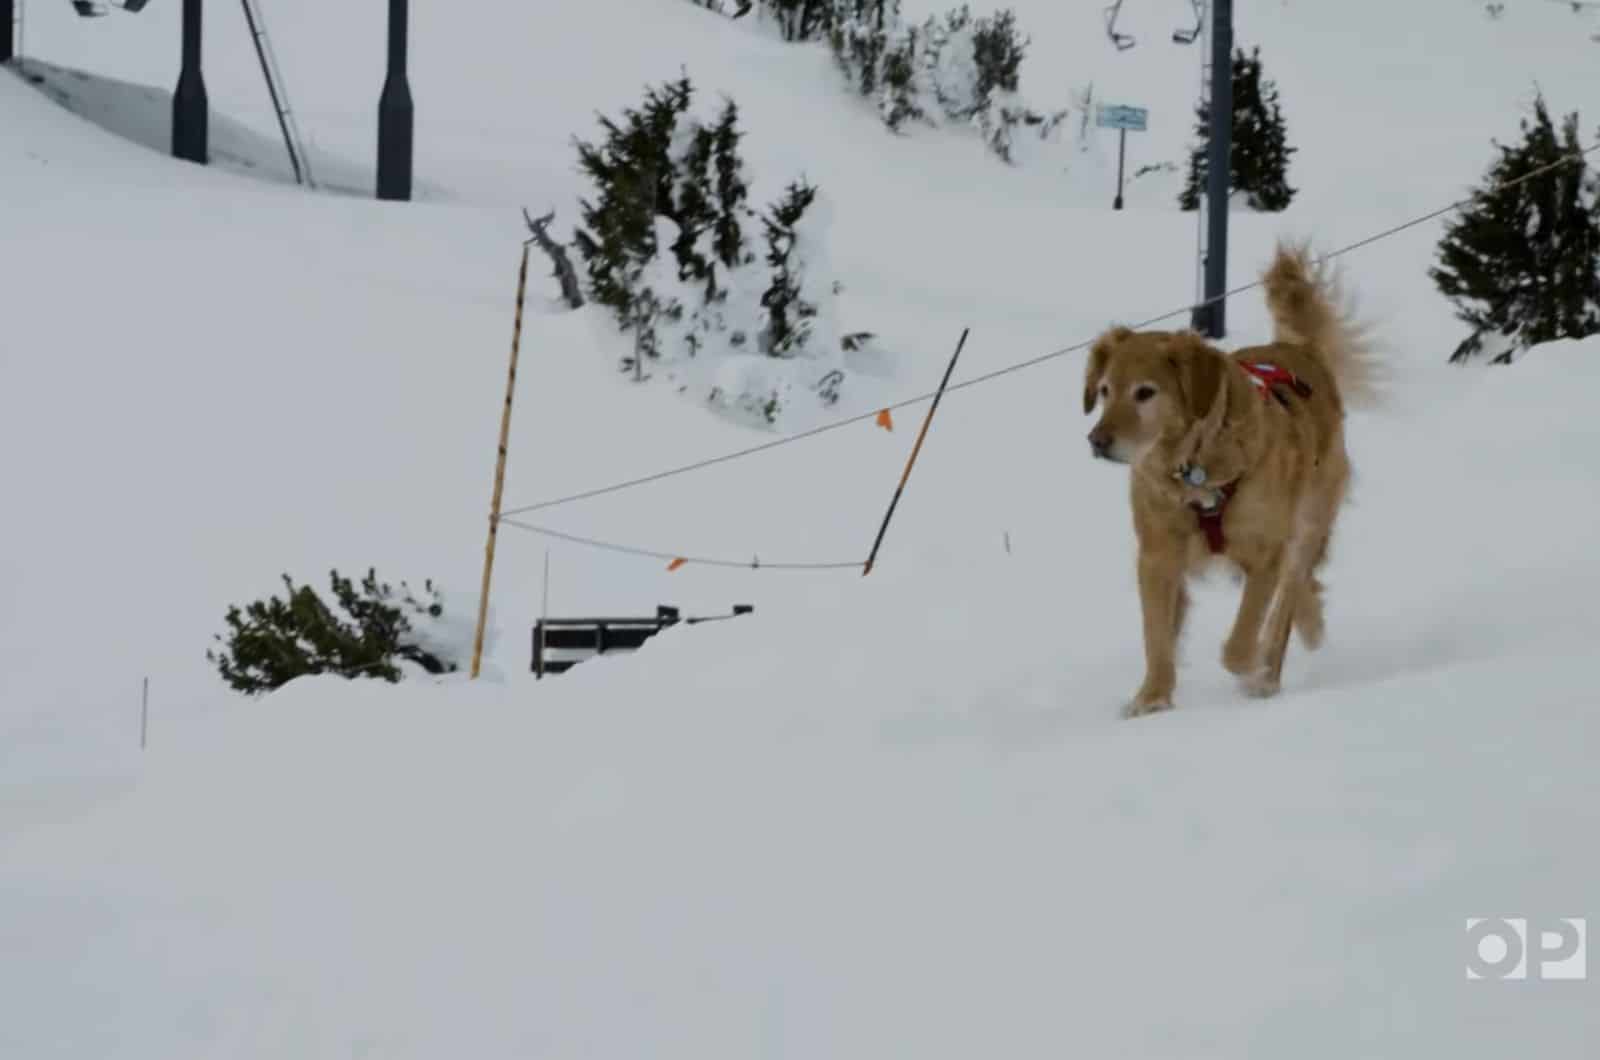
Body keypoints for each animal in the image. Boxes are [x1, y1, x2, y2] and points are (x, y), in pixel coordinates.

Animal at [1081, 244, 1382, 717]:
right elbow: (1156, 637)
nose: (1097, 441)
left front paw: (1253, 666)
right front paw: (1152, 698)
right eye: (1106, 390)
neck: (1195, 465)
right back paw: (1309, 628)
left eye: (1145, 392)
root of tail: (1297, 350)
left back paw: (1269, 673)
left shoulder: (1265, 556)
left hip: (1307, 524)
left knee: (1287, 599)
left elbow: (1240, 642)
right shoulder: (1157, 557)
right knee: (1303, 590)